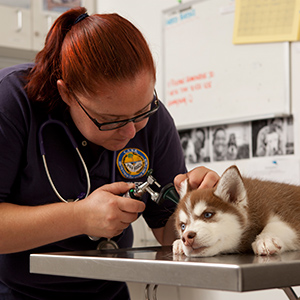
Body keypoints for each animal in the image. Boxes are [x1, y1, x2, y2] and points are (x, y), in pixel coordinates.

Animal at [172, 165, 300, 256]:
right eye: (183, 226)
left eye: (207, 214)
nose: (186, 238)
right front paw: (179, 243)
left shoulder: (287, 212)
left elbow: (277, 224)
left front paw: (266, 238)